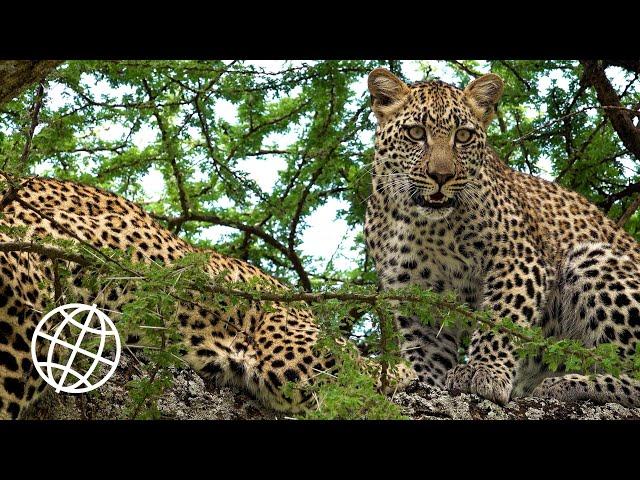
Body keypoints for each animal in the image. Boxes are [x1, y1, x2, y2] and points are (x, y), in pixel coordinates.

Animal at [364, 66, 640, 404]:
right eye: (416, 133)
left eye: (463, 136)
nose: (441, 176)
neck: (424, 225)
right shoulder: (415, 291)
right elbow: (428, 349)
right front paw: (426, 382)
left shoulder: (519, 260)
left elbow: (501, 318)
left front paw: (483, 371)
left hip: (589, 257)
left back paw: (568, 384)